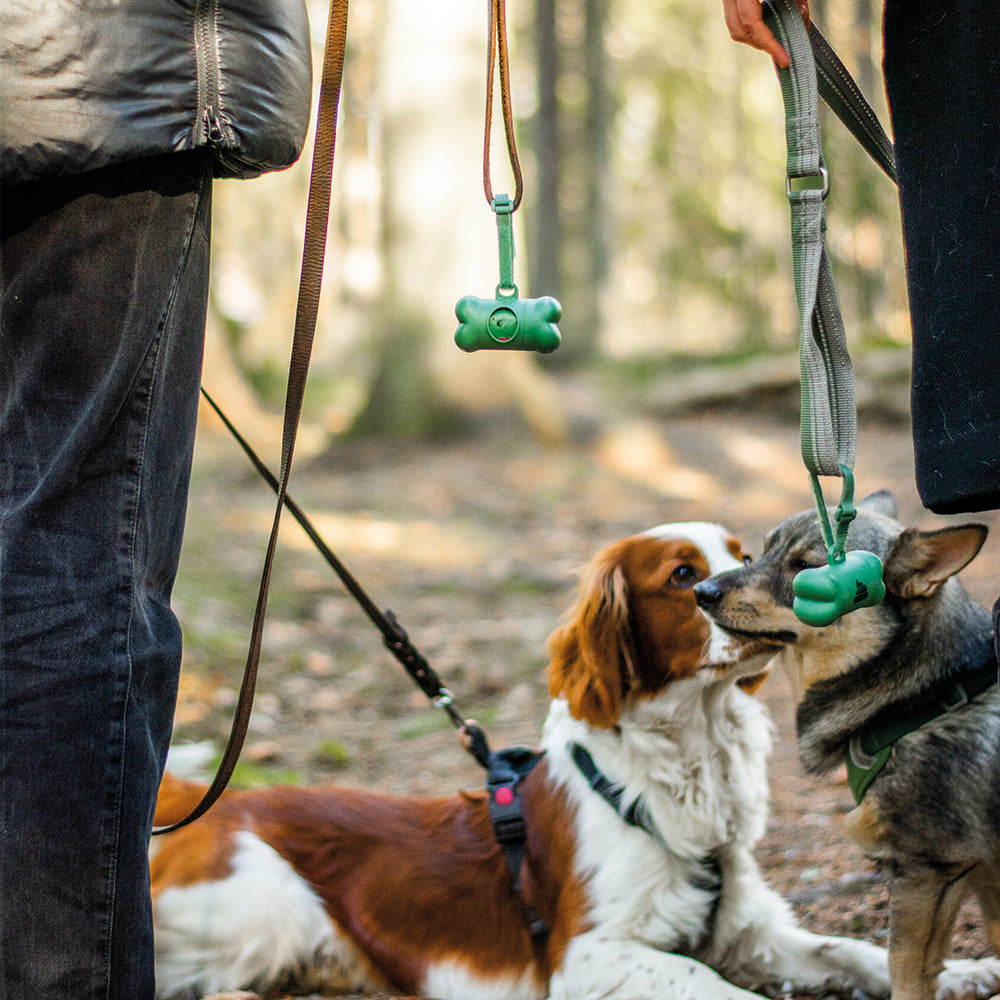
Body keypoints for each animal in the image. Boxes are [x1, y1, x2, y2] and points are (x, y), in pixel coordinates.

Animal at [150, 524, 892, 1000]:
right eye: (684, 575)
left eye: (745, 554)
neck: (689, 753)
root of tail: (226, 798)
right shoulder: (587, 955)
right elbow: (711, 984)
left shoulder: (747, 928)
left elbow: (858, 952)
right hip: (270, 906)